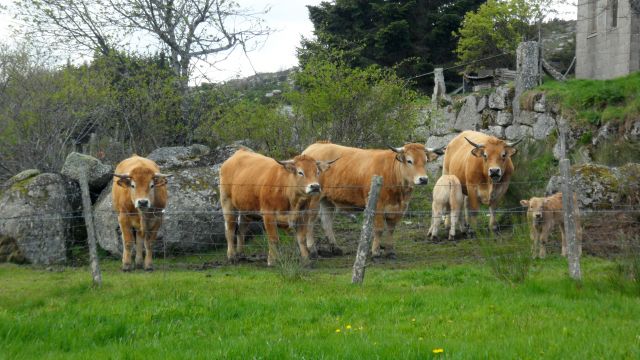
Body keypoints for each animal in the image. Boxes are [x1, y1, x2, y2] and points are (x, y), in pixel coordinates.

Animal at [302, 142, 442, 258]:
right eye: (409, 161)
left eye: (425, 161)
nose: (423, 179)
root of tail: (315, 145)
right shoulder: (378, 205)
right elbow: (379, 229)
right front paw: (375, 252)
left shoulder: (398, 209)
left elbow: (391, 229)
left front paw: (390, 251)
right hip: (313, 199)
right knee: (309, 222)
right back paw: (313, 251)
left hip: (327, 200)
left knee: (326, 222)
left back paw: (336, 249)